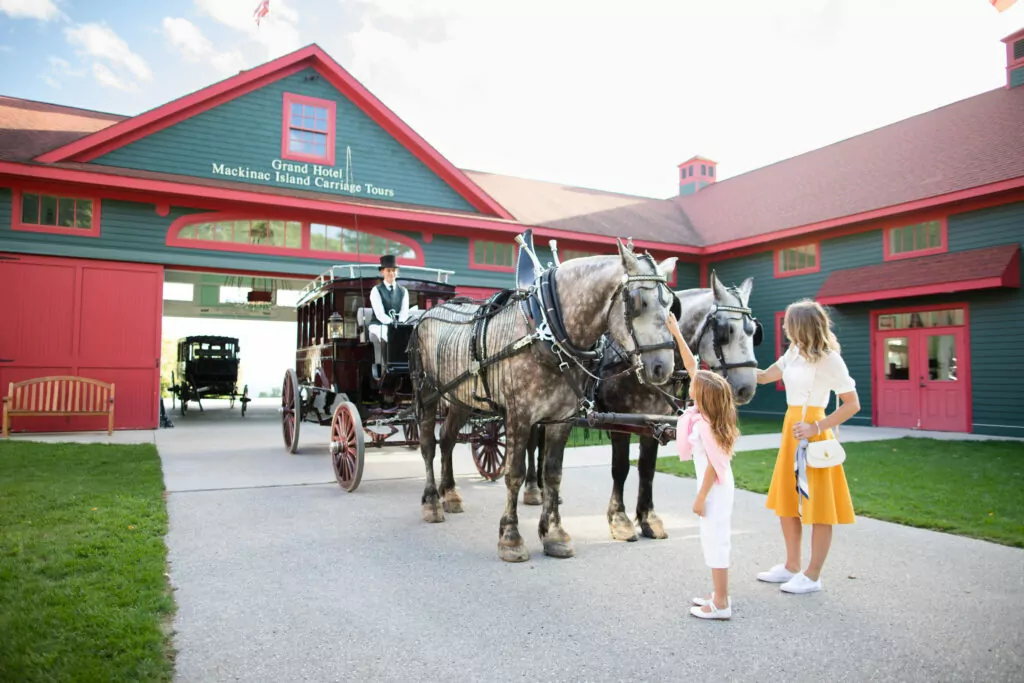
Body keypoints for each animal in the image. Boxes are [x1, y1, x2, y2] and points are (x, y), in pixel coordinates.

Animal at [407, 239, 679, 561]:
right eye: (637, 302)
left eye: (671, 304)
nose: (663, 367)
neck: (547, 330)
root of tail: (424, 314)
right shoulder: (519, 416)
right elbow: (513, 473)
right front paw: (511, 538)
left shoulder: (561, 419)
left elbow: (553, 475)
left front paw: (554, 535)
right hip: (428, 394)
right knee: (428, 445)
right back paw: (432, 501)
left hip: (460, 399)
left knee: (447, 439)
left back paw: (450, 494)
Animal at [528, 270, 761, 540]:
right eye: (726, 330)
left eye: (754, 332)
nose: (747, 388)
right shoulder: (618, 422)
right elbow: (620, 468)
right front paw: (619, 520)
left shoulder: (653, 422)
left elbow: (647, 469)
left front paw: (648, 519)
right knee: (533, 444)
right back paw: (533, 489)